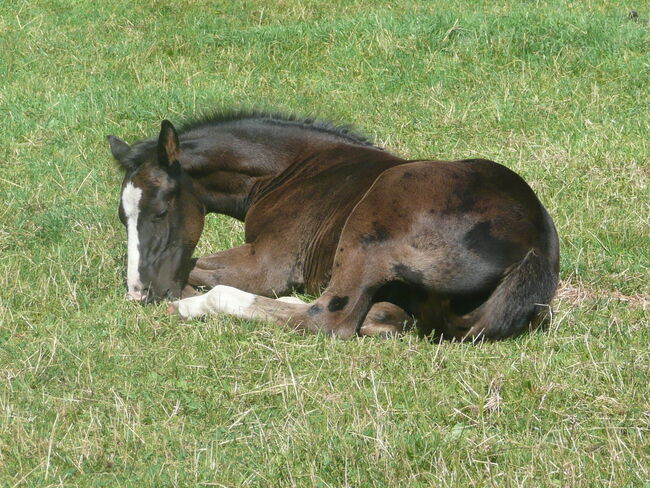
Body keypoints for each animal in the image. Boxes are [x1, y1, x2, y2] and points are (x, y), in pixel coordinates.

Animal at [107, 111, 556, 340]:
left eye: (161, 210)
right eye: (123, 217)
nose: (139, 293)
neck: (288, 170)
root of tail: (534, 246)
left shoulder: (269, 263)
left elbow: (197, 269)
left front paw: (183, 296)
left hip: (369, 231)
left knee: (329, 320)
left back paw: (195, 306)